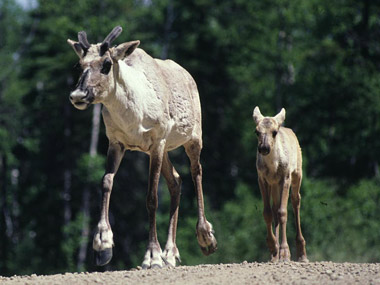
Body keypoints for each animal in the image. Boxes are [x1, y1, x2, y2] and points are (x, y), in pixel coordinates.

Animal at [67, 26, 218, 266]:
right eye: (79, 65)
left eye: (107, 64)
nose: (78, 95)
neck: (131, 114)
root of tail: (188, 76)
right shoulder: (117, 142)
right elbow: (106, 182)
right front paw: (103, 245)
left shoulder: (157, 141)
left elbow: (152, 197)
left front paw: (152, 255)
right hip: (163, 149)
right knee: (176, 180)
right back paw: (170, 253)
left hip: (193, 138)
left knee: (196, 172)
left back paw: (205, 238)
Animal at [252, 106, 308, 262]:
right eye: (257, 131)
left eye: (274, 132)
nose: (264, 148)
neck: (273, 167)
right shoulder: (262, 179)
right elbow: (267, 212)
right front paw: (273, 246)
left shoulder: (285, 177)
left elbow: (283, 212)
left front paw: (285, 252)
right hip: (274, 185)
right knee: (275, 207)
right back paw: (275, 254)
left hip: (297, 174)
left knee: (295, 201)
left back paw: (301, 253)